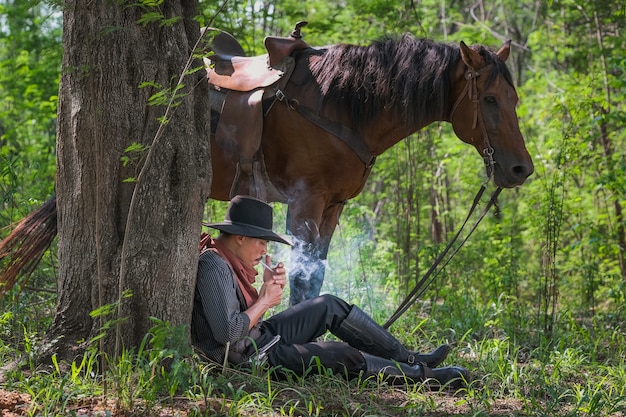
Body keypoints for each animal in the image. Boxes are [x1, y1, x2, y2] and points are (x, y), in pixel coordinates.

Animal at [0, 33, 532, 302]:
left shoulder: (333, 208)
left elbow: (315, 274)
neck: (341, 106)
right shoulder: (304, 202)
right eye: (488, 99)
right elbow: (299, 275)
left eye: (514, 98)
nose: (519, 171)